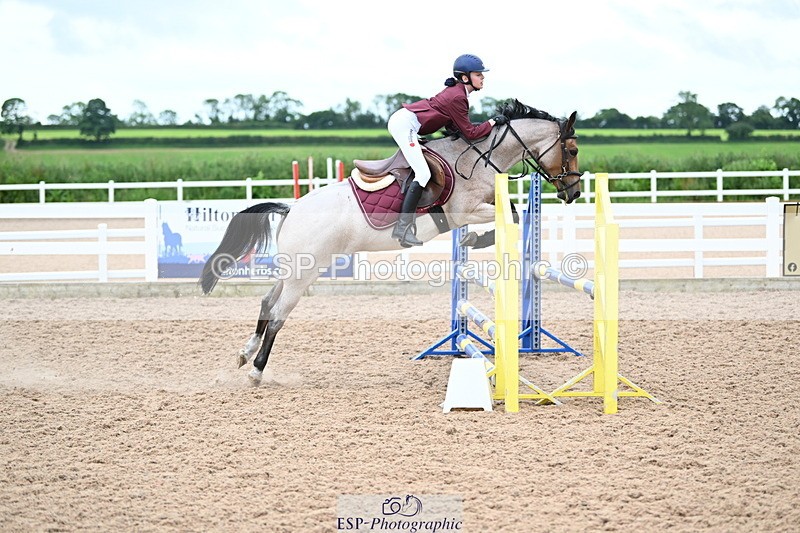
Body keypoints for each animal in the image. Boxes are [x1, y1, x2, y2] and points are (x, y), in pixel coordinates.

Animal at [199, 100, 582, 384]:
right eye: (573, 149)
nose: (574, 193)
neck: (478, 158)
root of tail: (291, 209)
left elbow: (513, 214)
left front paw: (475, 239)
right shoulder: (465, 211)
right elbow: (512, 216)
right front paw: (476, 237)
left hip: (294, 270)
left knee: (267, 303)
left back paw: (245, 354)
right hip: (304, 274)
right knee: (278, 314)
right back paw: (256, 370)